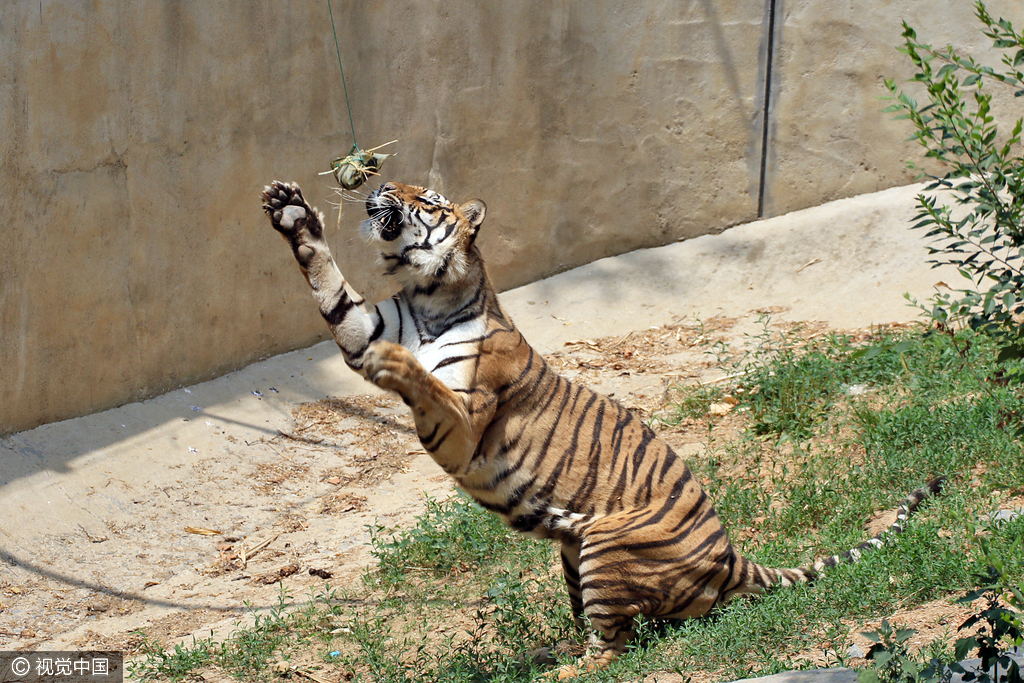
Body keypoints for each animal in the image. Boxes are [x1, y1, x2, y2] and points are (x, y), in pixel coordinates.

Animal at [258, 179, 942, 675]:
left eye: (423, 197)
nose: (378, 187)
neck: (426, 296)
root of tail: (731, 556)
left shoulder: (463, 419)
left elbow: (426, 383)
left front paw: (395, 364)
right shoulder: (362, 324)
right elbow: (330, 285)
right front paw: (291, 211)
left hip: (606, 547)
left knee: (617, 649)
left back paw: (559, 669)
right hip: (572, 553)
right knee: (612, 631)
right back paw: (550, 651)